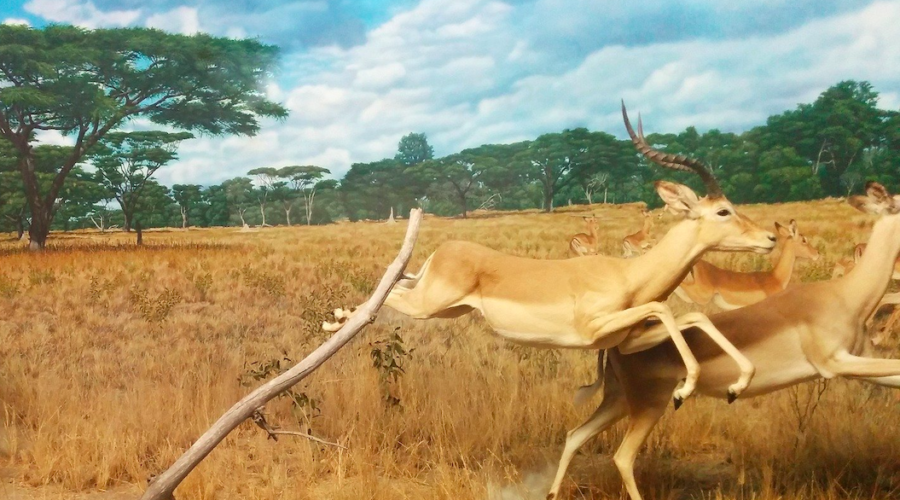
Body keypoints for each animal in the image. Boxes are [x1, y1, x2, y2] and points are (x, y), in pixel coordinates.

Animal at [324, 103, 777, 407]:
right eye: (723, 211)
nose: (770, 238)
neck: (629, 275)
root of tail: (445, 249)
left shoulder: (626, 339)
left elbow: (694, 316)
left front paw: (739, 384)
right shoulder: (595, 327)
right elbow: (666, 309)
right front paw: (684, 388)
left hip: (446, 306)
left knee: (395, 284)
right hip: (429, 304)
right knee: (385, 298)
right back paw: (336, 321)